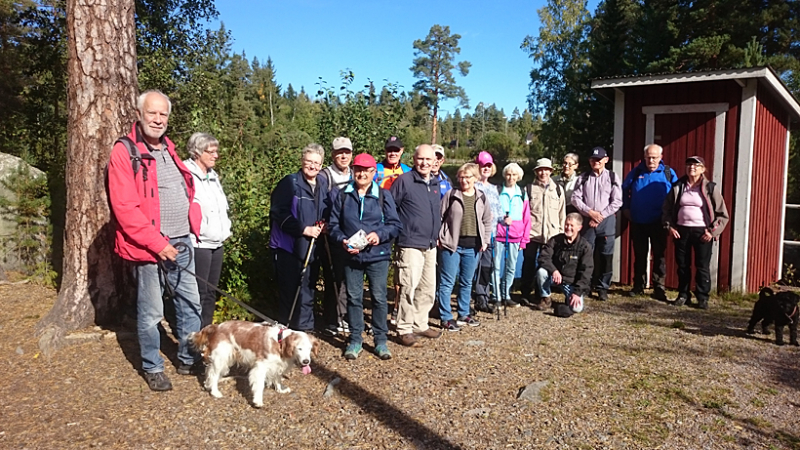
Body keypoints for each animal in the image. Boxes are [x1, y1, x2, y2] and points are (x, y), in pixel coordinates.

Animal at [190, 320, 318, 408]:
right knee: (213, 374)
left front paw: (280, 389)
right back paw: (215, 392)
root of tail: (217, 326)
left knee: (209, 371)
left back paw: (209, 385)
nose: (306, 361)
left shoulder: (277, 365)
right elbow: (260, 385)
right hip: (222, 358)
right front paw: (258, 401)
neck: (279, 341)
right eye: (299, 348)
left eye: (309, 348)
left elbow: (277, 379)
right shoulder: (260, 367)